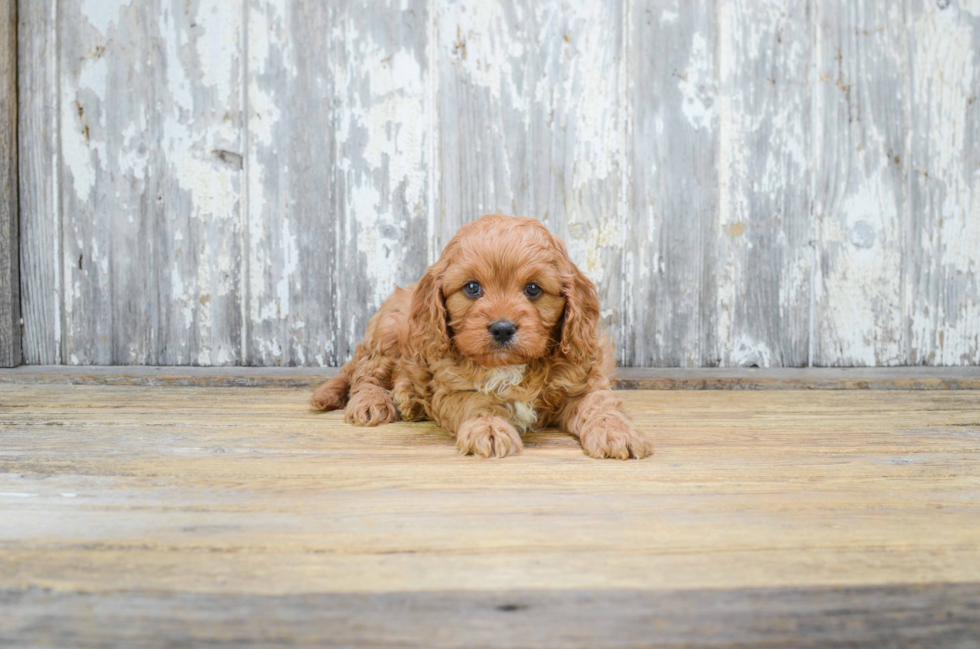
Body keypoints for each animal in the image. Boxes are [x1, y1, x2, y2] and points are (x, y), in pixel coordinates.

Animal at [312, 215, 652, 458]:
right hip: (389, 332)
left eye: (533, 289)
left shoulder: (582, 382)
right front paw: (489, 430)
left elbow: (601, 406)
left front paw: (616, 433)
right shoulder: (454, 388)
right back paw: (373, 402)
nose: (502, 328)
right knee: (365, 374)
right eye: (472, 288)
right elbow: (479, 403)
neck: (510, 367)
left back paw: (409, 397)